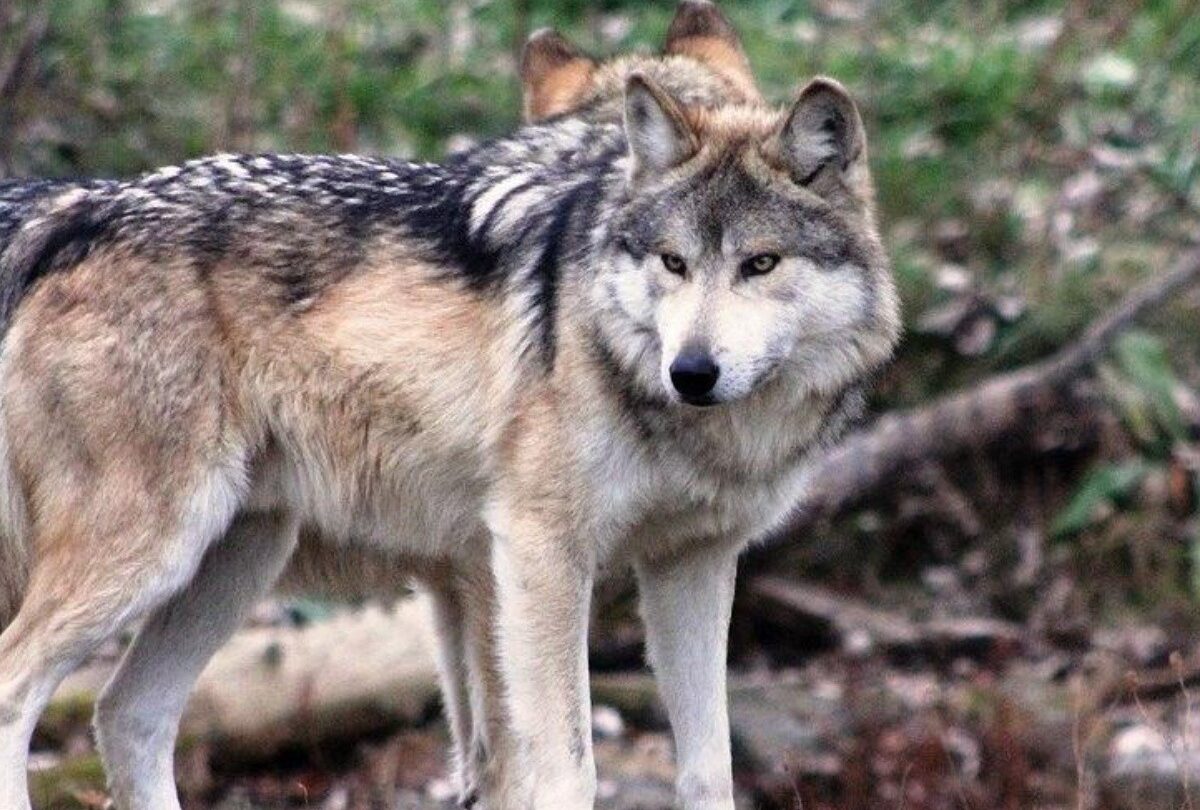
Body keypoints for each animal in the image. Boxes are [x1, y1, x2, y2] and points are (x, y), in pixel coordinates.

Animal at [0, 2, 900, 808]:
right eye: (674, 263)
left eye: (760, 263)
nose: (692, 372)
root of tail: (74, 213)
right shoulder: (533, 554)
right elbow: (556, 770)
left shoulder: (692, 562)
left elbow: (707, 771)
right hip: (152, 553)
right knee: (17, 692)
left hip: (234, 558)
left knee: (128, 717)